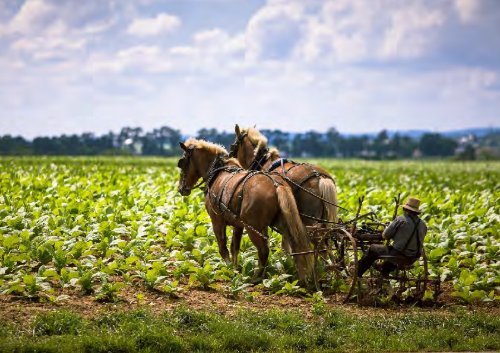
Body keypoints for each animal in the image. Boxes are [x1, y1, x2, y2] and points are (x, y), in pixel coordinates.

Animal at [179, 136, 312, 282]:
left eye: (182, 162)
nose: (181, 189)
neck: (217, 172)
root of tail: (277, 184)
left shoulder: (217, 221)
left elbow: (223, 248)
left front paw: (229, 269)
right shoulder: (237, 225)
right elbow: (234, 247)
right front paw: (235, 268)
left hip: (252, 228)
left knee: (264, 250)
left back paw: (256, 277)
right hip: (281, 225)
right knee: (294, 248)